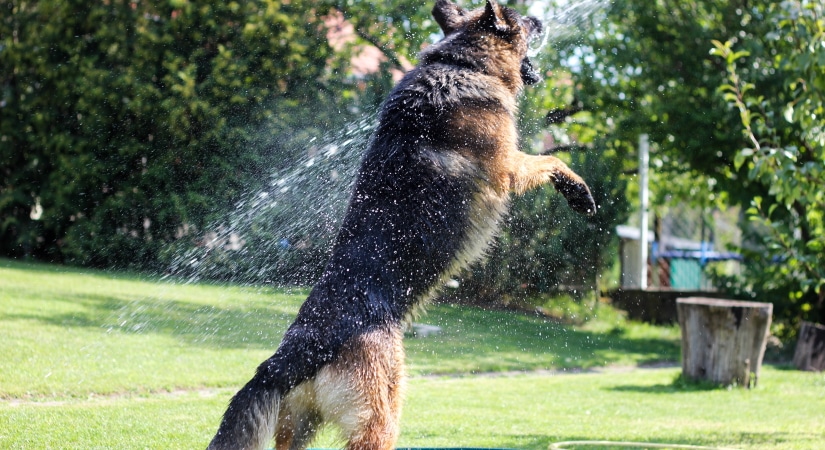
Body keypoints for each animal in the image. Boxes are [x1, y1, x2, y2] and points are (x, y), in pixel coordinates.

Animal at [206, 1, 592, 448]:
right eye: (519, 19)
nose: (542, 17)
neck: (462, 63)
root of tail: (294, 355)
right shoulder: (508, 167)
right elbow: (551, 160)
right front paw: (579, 192)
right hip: (380, 417)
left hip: (298, 425)